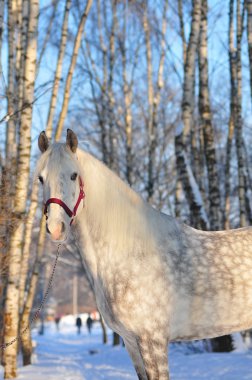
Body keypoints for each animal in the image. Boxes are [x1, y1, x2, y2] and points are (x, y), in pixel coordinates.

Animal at [36, 129, 252, 378]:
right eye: (40, 178)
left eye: (73, 175)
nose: (56, 228)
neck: (131, 251)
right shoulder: (131, 342)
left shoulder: (152, 340)